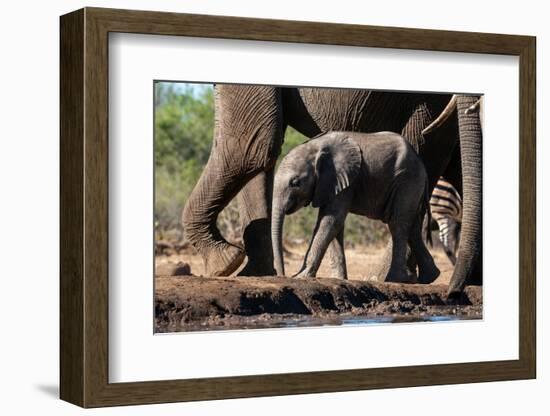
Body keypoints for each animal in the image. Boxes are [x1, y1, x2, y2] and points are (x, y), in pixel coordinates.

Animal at [274, 132, 442, 284]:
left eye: (295, 183)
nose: (282, 275)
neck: (315, 146)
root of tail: (422, 165)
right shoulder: (332, 184)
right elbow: (332, 224)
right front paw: (338, 279)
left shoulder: (345, 180)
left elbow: (331, 221)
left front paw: (301, 277)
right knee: (412, 226)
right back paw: (429, 277)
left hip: (408, 180)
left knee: (397, 224)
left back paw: (396, 279)